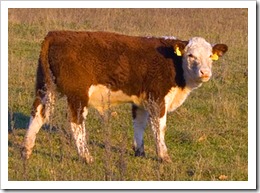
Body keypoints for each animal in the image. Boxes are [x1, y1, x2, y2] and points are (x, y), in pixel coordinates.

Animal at [20, 30, 228, 163]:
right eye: (191, 55)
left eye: (210, 56)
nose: (205, 73)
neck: (175, 65)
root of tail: (56, 33)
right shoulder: (157, 98)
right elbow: (159, 127)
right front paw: (164, 156)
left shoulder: (141, 100)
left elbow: (139, 124)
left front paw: (140, 151)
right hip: (77, 94)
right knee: (75, 122)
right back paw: (86, 157)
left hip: (46, 87)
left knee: (38, 114)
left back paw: (26, 150)